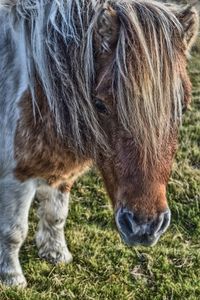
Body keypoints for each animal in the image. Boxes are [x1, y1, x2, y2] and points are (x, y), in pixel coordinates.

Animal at [0, 0, 198, 286]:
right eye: (100, 105)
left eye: (182, 107)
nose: (144, 226)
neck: (40, 94)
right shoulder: (17, 177)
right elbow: (13, 230)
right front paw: (11, 278)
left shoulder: (62, 170)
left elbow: (56, 215)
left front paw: (56, 254)